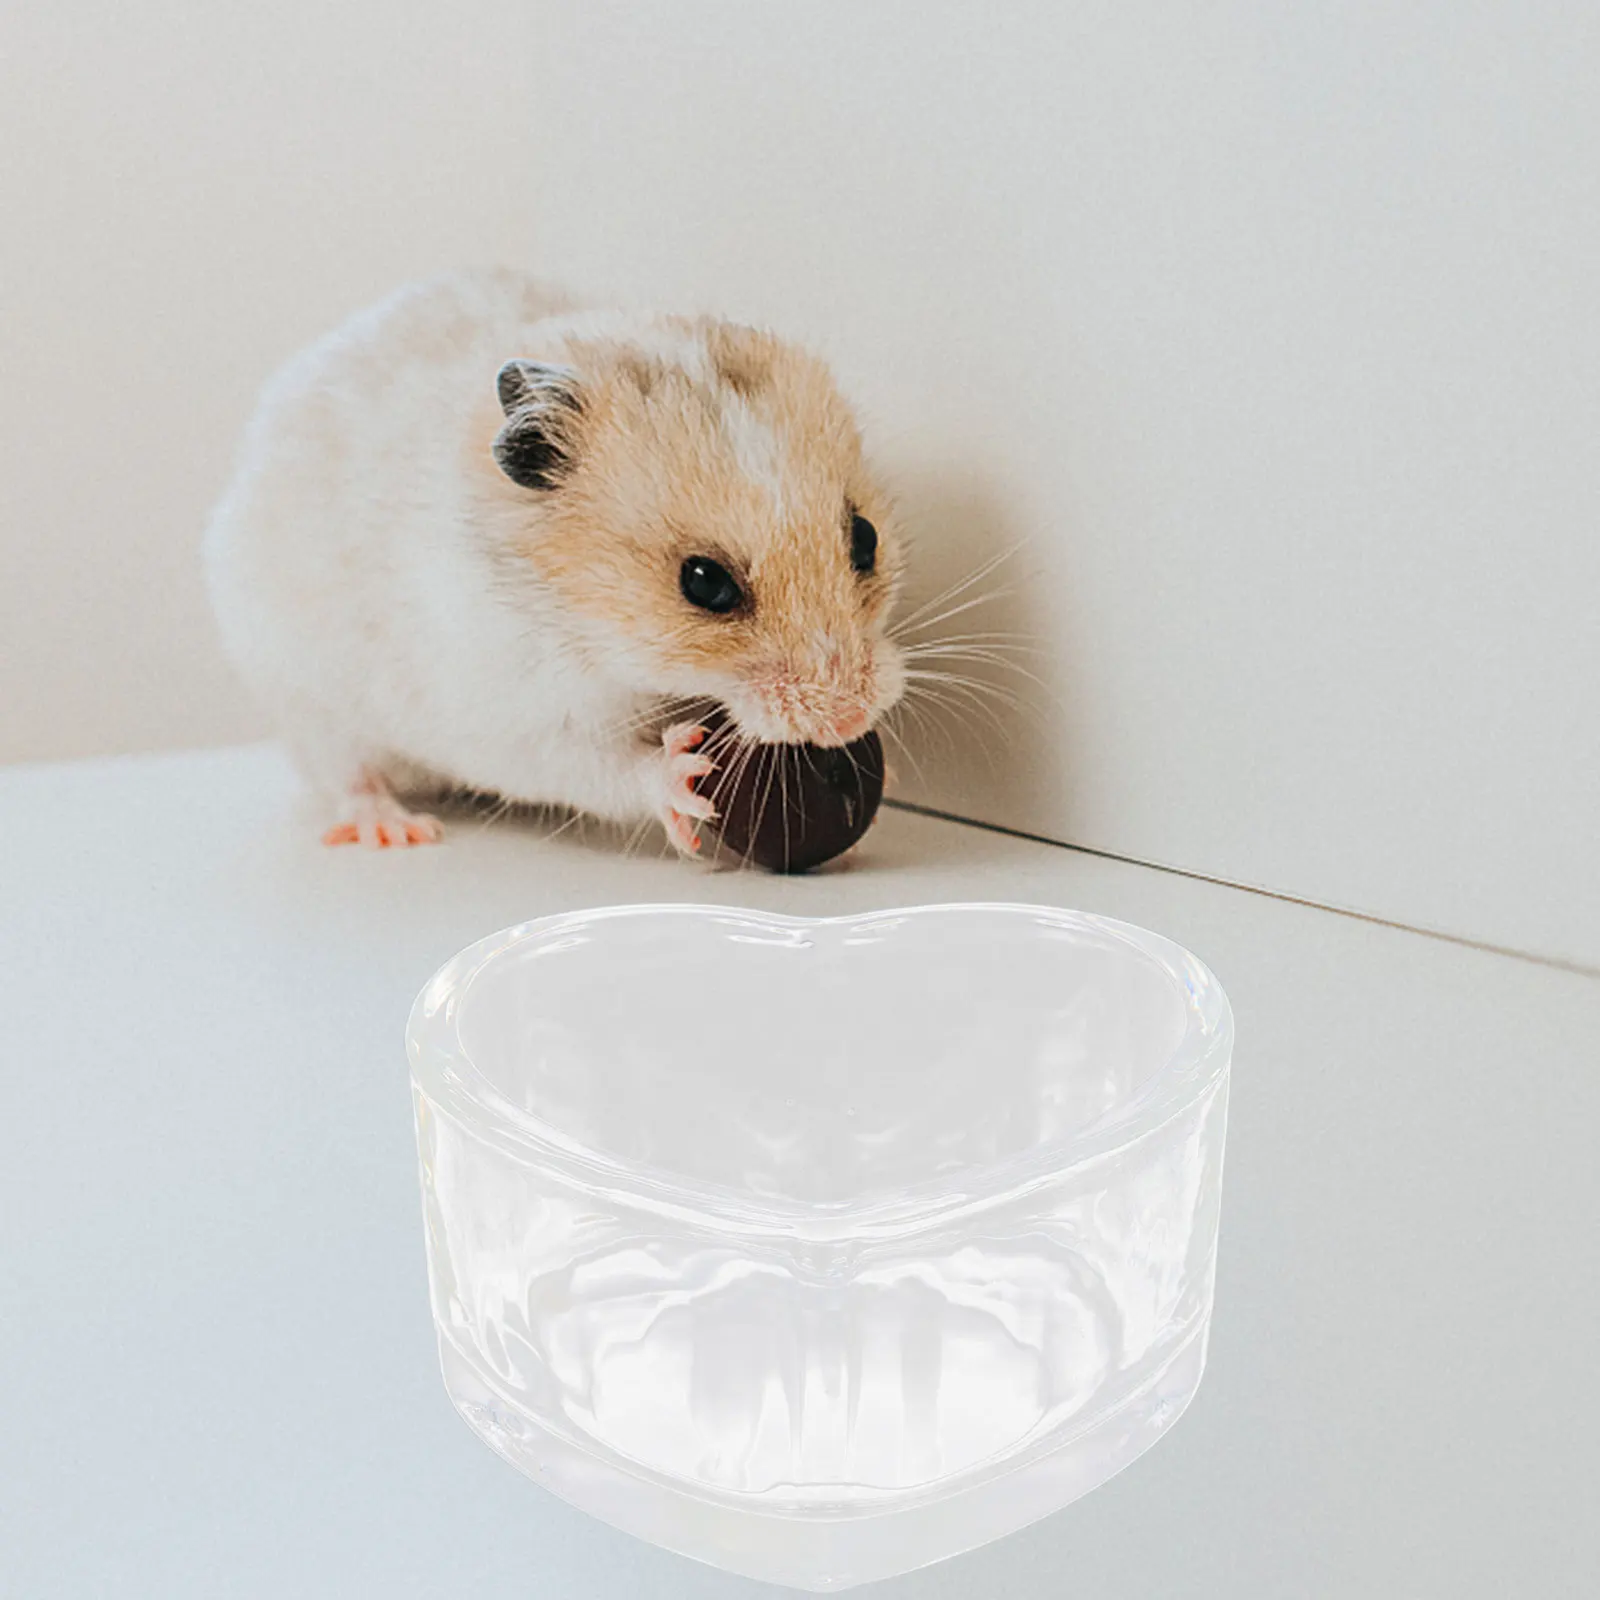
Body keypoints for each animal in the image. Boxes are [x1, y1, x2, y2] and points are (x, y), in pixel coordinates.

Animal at [204, 269, 907, 854]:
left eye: (865, 538)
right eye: (704, 583)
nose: (846, 719)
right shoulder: (513, 717)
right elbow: (597, 767)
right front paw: (683, 777)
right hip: (307, 701)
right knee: (347, 774)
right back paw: (397, 831)